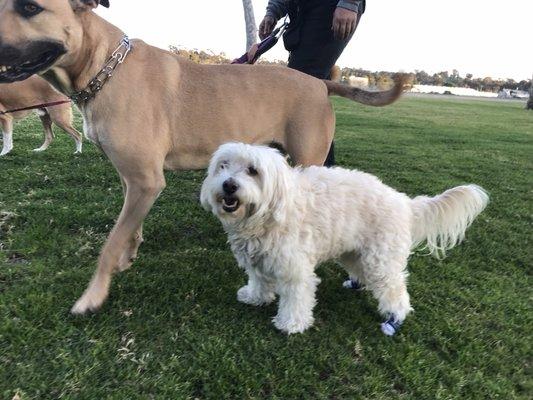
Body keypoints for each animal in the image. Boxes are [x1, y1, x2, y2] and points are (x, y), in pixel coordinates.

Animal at [0, 0, 410, 314]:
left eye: (31, 7)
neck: (104, 67)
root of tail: (320, 82)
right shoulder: (133, 178)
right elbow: (128, 228)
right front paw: (128, 254)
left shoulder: (147, 180)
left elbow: (109, 243)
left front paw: (93, 295)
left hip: (309, 156)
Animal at [198, 142, 486, 336]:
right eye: (223, 166)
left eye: (253, 170)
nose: (229, 185)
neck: (267, 213)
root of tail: (403, 202)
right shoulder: (258, 259)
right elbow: (259, 280)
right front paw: (255, 297)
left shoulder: (295, 270)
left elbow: (296, 297)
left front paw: (291, 324)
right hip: (354, 252)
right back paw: (357, 284)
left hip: (381, 260)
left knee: (395, 289)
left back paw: (394, 319)